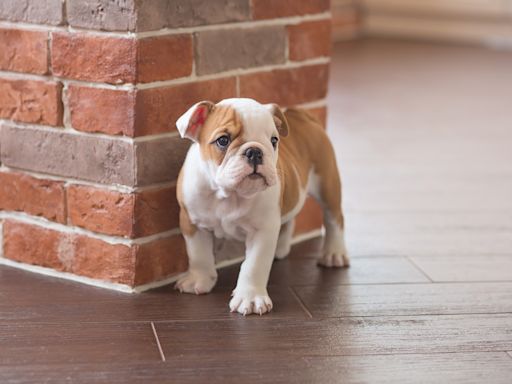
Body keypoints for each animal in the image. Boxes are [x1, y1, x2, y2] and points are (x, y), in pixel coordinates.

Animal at [175, 98, 348, 316]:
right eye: (223, 140)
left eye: (274, 141)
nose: (255, 151)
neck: (229, 194)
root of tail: (301, 115)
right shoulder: (192, 222)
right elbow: (198, 254)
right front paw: (199, 280)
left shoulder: (262, 231)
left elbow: (254, 265)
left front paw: (249, 299)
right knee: (289, 219)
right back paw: (281, 249)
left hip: (327, 184)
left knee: (334, 218)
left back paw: (334, 254)